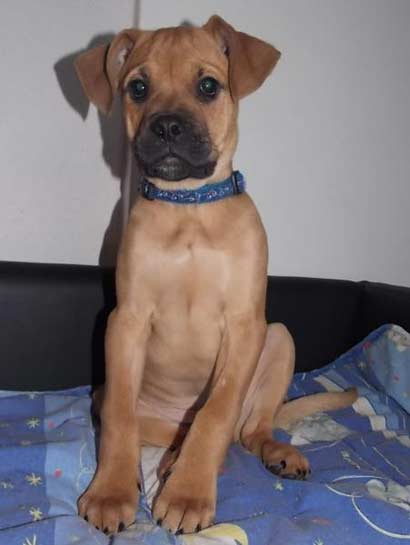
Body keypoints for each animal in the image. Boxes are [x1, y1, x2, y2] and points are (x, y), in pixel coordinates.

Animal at [75, 15, 356, 536]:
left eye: (208, 86)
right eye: (138, 88)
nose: (167, 126)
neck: (190, 209)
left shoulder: (245, 326)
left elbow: (215, 415)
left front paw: (187, 493)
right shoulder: (126, 321)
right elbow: (121, 419)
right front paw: (111, 491)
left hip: (278, 338)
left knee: (248, 430)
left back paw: (261, 454)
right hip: (108, 391)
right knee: (149, 425)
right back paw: (162, 462)